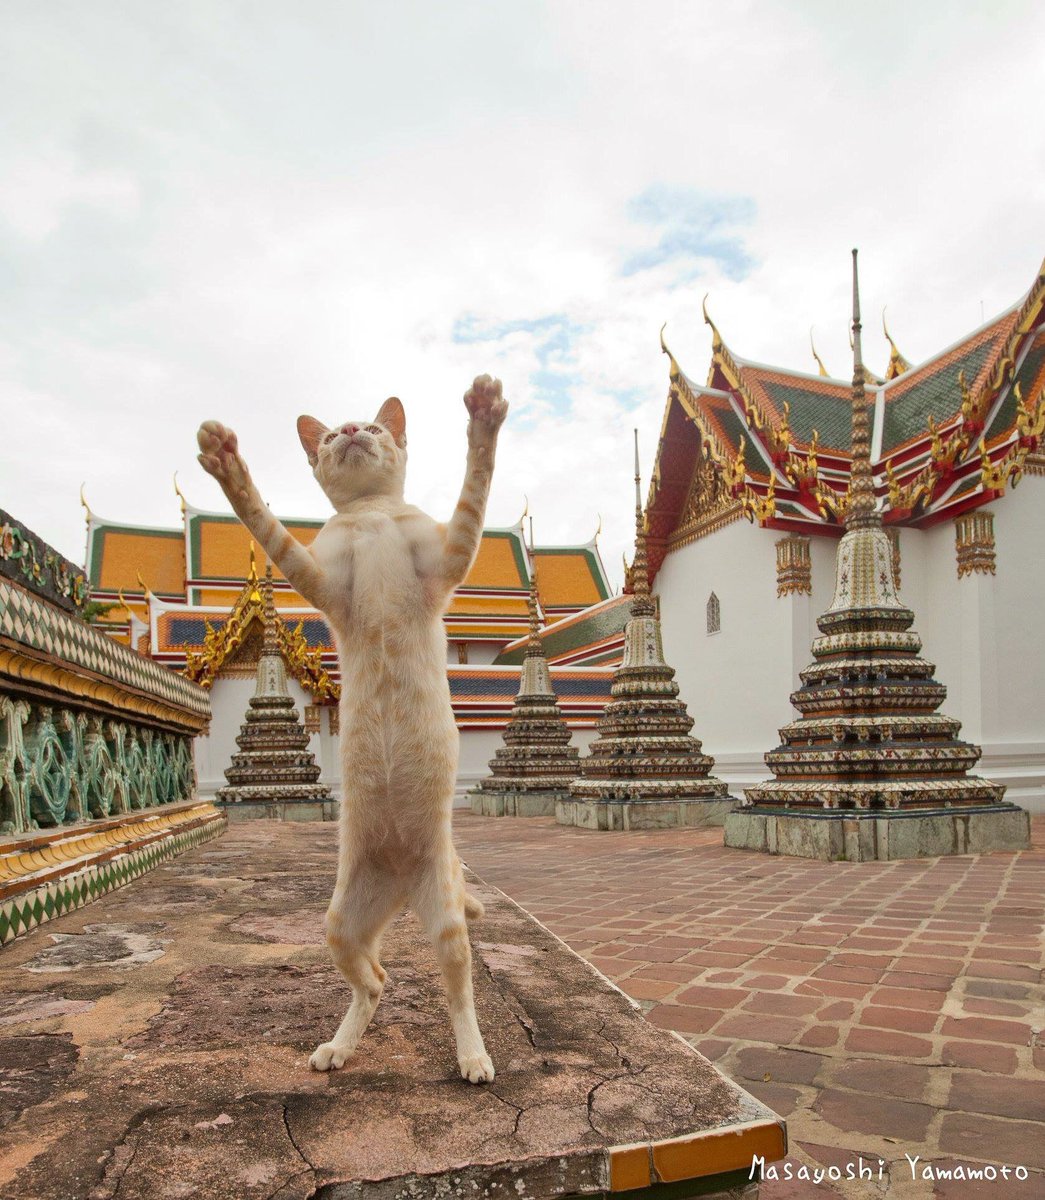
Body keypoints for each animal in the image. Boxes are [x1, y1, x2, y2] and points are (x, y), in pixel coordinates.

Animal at [197, 376, 508, 1089]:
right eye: (336, 433)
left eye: (373, 425)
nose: (351, 433)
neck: (369, 514)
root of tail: (400, 881)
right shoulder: (317, 577)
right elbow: (269, 531)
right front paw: (228, 467)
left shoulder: (448, 556)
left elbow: (473, 494)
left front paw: (482, 417)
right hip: (340, 920)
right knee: (376, 978)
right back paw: (340, 1044)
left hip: (445, 918)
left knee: (456, 986)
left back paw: (473, 1055)